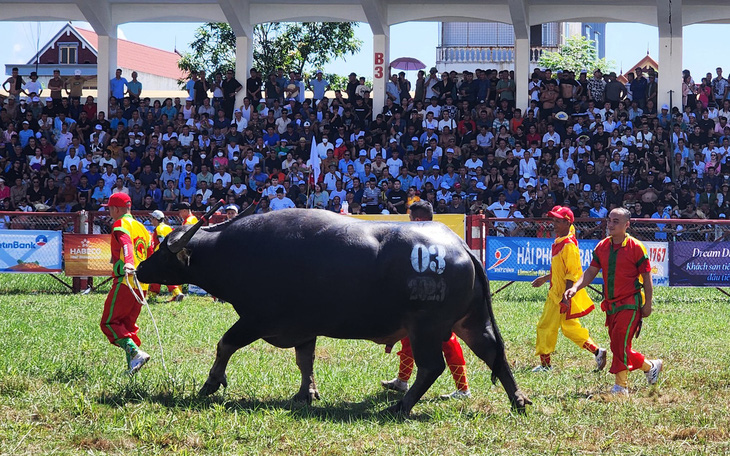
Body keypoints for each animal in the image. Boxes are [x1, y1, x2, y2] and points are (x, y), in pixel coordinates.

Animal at [134, 208, 528, 416]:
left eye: (164, 252)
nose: (140, 269)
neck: (231, 252)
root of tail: (461, 245)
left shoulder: (256, 319)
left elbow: (225, 344)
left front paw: (212, 383)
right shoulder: (304, 327)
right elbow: (304, 360)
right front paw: (306, 393)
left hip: (427, 327)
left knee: (432, 366)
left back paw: (400, 407)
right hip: (470, 321)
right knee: (495, 352)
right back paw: (519, 400)